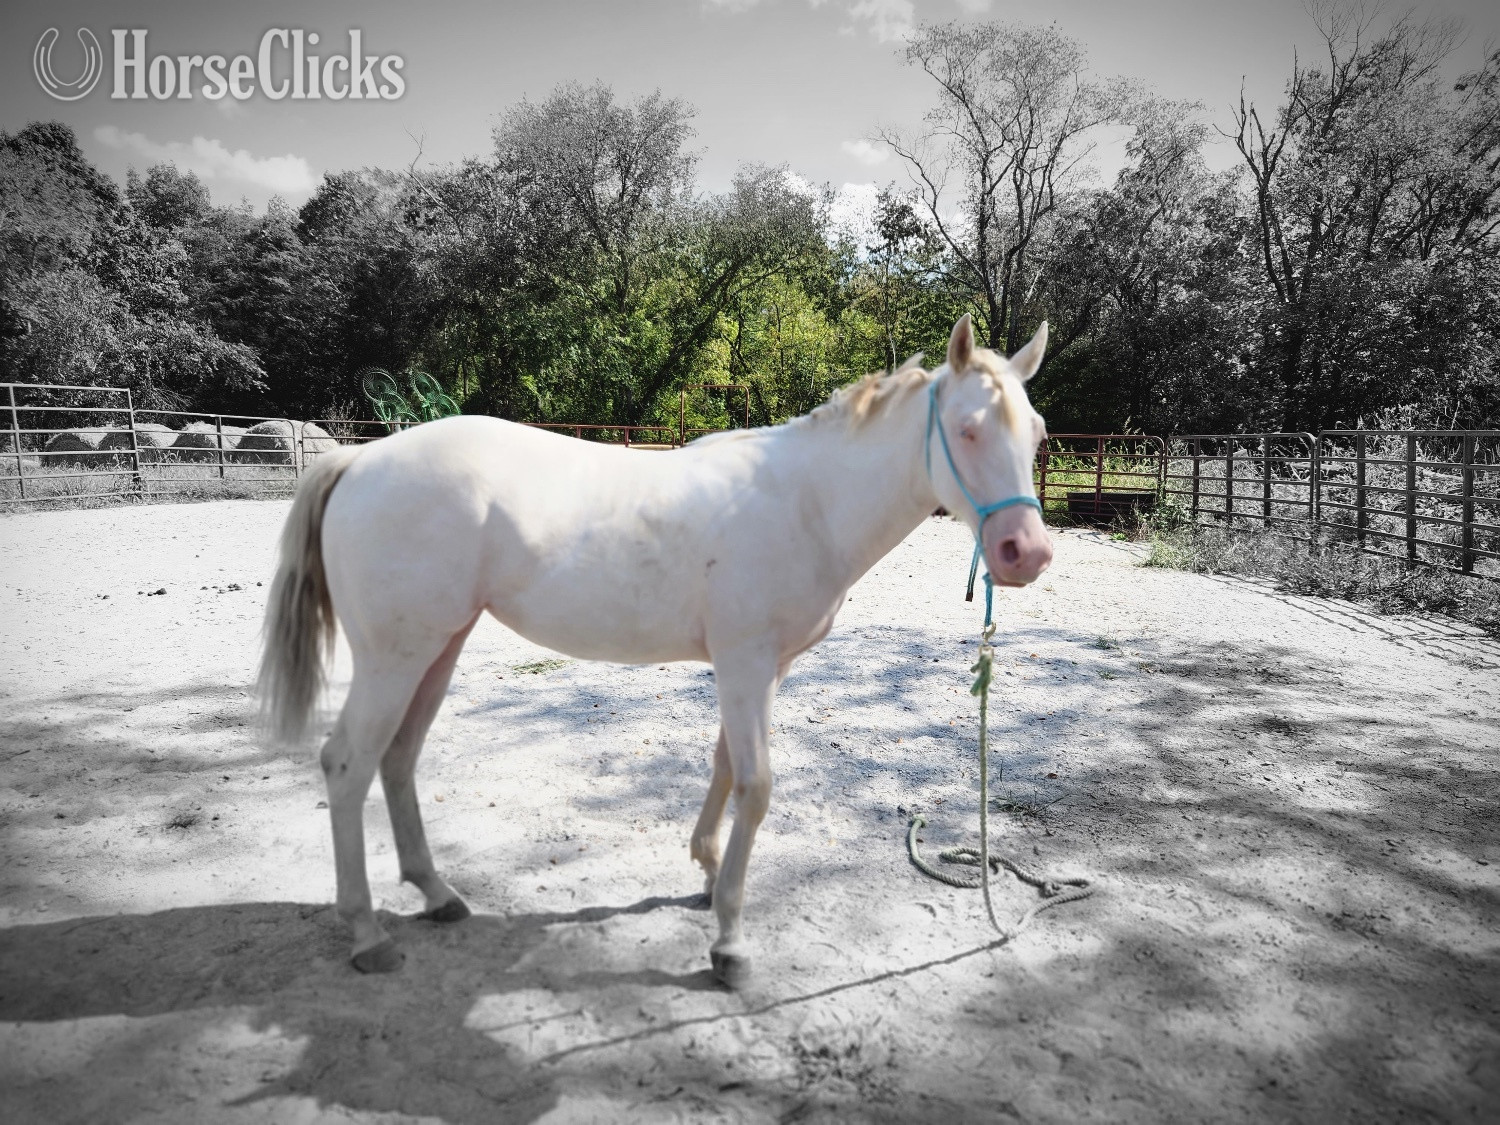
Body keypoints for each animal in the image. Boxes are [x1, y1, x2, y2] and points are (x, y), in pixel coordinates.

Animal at [257, 314, 1053, 987]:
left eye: (1039, 433)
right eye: (969, 428)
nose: (1027, 553)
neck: (807, 502)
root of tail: (361, 460)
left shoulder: (762, 667)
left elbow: (727, 766)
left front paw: (706, 874)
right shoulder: (744, 662)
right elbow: (756, 785)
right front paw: (730, 943)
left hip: (438, 647)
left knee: (398, 758)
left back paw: (437, 893)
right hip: (394, 657)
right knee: (349, 763)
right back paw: (367, 934)